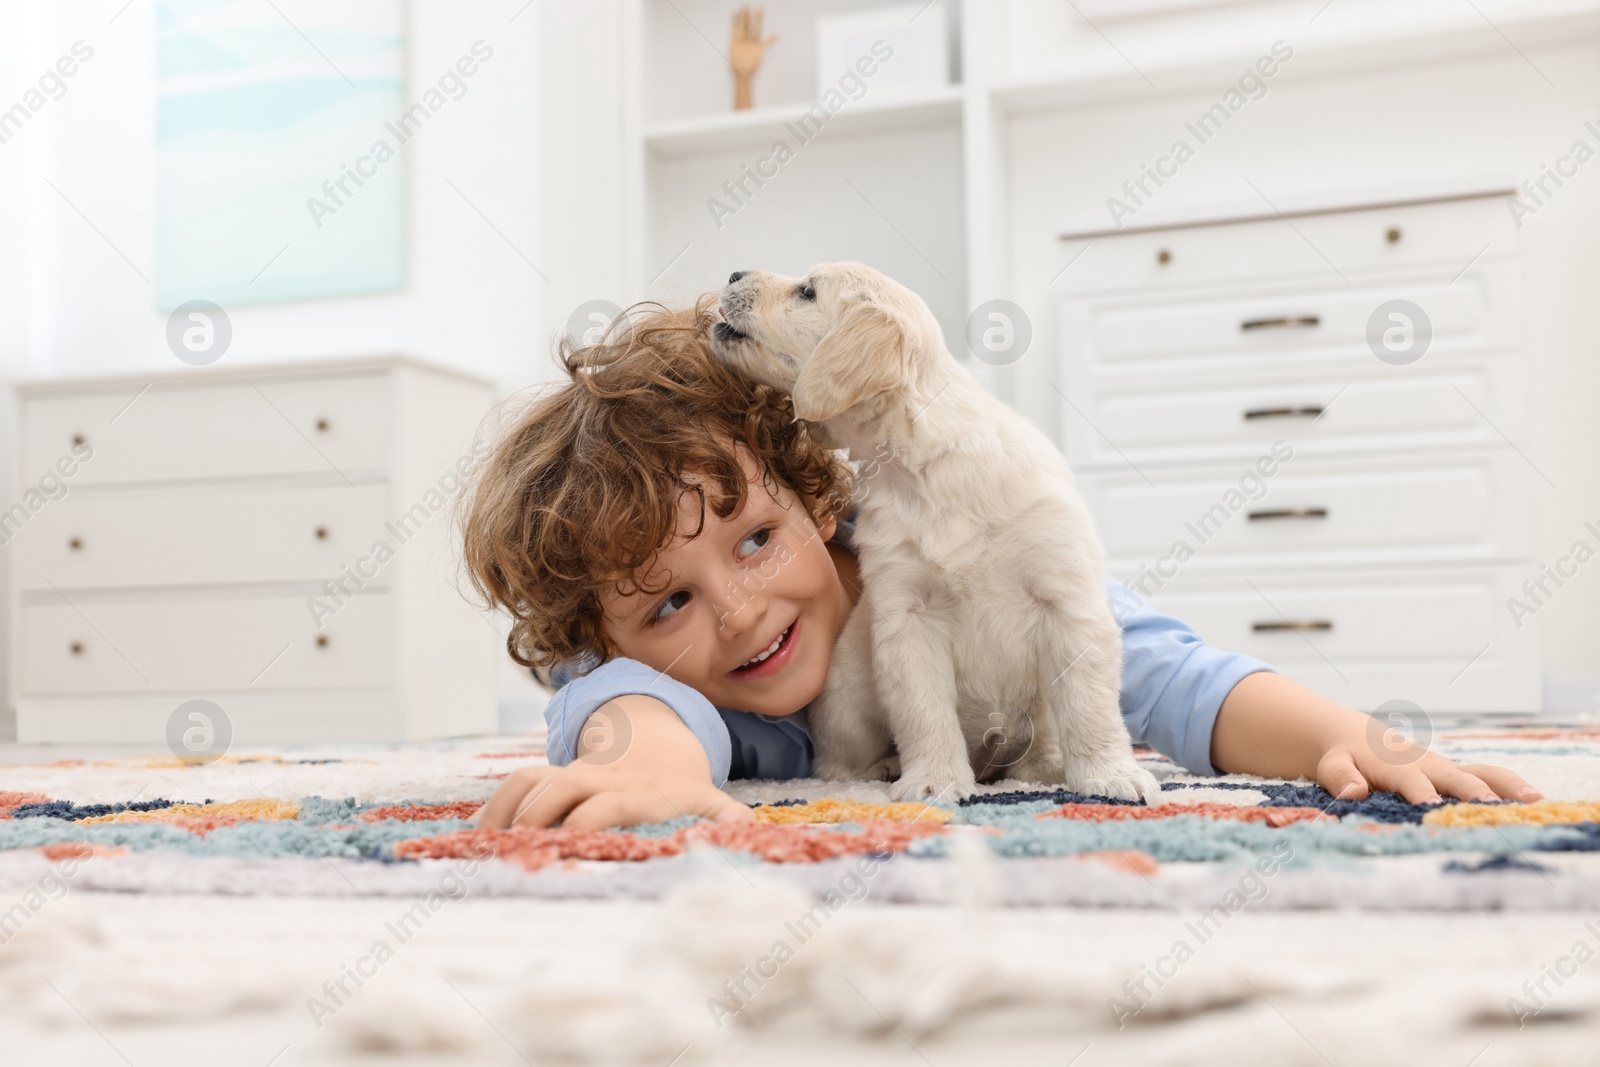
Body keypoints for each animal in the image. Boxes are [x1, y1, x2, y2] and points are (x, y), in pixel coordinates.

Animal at [707, 265, 1158, 799]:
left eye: (807, 291)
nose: (734, 272)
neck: (922, 472)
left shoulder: (1067, 602)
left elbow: (1089, 705)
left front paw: (1110, 775)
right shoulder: (907, 613)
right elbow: (923, 711)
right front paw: (935, 781)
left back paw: (1043, 767)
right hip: (847, 696)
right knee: (833, 765)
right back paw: (882, 769)